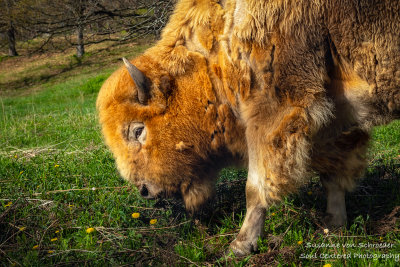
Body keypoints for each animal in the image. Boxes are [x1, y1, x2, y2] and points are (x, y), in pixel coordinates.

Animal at [97, 0, 400, 258]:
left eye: (137, 130)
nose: (144, 190)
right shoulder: (335, 119)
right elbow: (333, 176)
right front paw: (335, 225)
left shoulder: (272, 115)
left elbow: (255, 187)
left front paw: (240, 246)